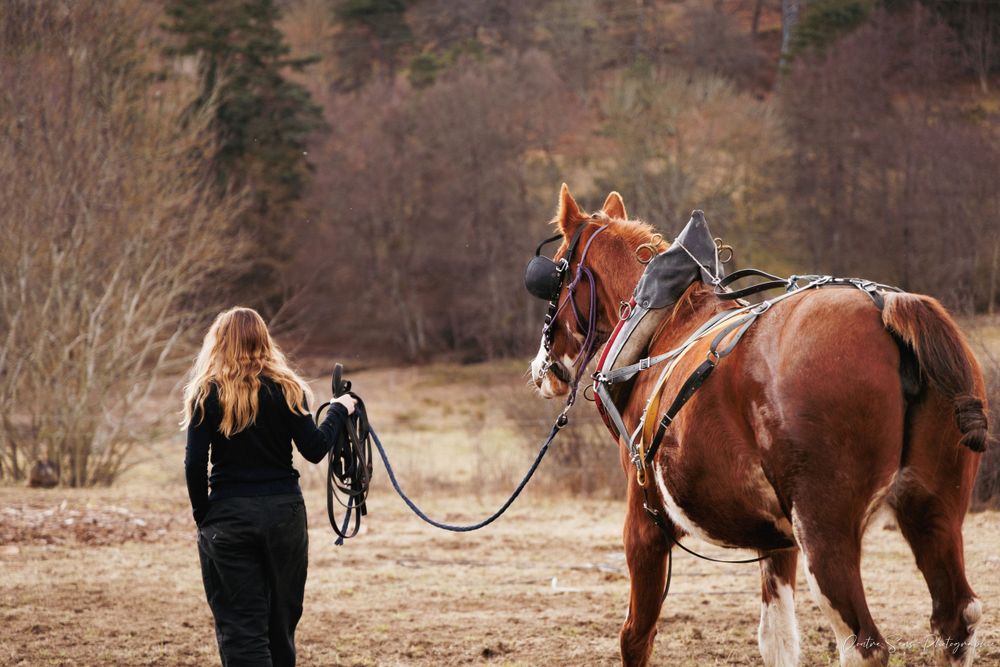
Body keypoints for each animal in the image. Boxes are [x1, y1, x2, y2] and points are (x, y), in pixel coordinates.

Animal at [528, 184, 992, 667]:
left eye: (556, 271)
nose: (542, 369)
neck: (662, 326)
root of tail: (885, 307)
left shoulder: (644, 521)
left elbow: (636, 636)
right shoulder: (777, 541)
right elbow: (778, 640)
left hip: (825, 530)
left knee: (863, 644)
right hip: (934, 512)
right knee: (954, 620)